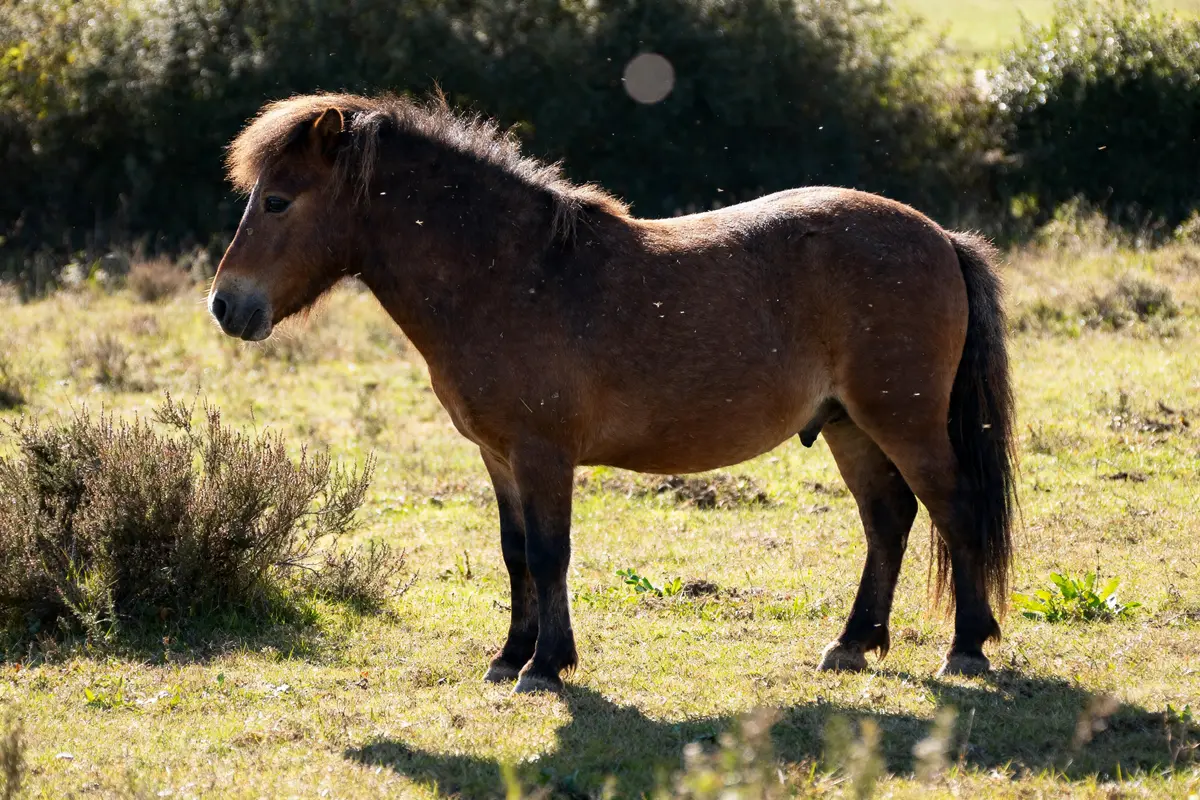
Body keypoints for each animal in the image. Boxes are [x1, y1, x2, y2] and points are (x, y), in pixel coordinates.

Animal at [208, 92, 1018, 694]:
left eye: (277, 201)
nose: (225, 306)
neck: (509, 275)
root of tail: (942, 237)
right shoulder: (500, 457)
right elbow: (515, 553)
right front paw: (510, 657)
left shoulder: (543, 454)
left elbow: (549, 553)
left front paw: (545, 666)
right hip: (850, 425)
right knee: (889, 520)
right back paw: (853, 644)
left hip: (904, 421)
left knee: (954, 511)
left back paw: (966, 648)